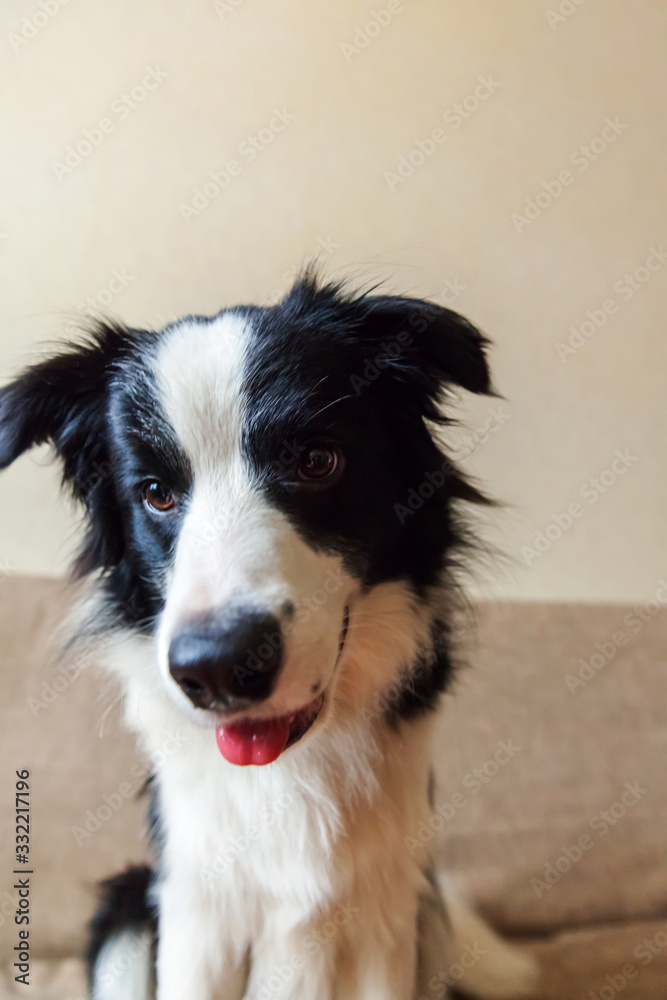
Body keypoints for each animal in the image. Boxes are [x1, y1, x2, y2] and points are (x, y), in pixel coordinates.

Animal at [0, 276, 536, 1000]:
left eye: (316, 461)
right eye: (156, 494)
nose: (218, 668)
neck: (287, 768)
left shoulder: (385, 920)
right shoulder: (197, 916)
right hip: (126, 909)